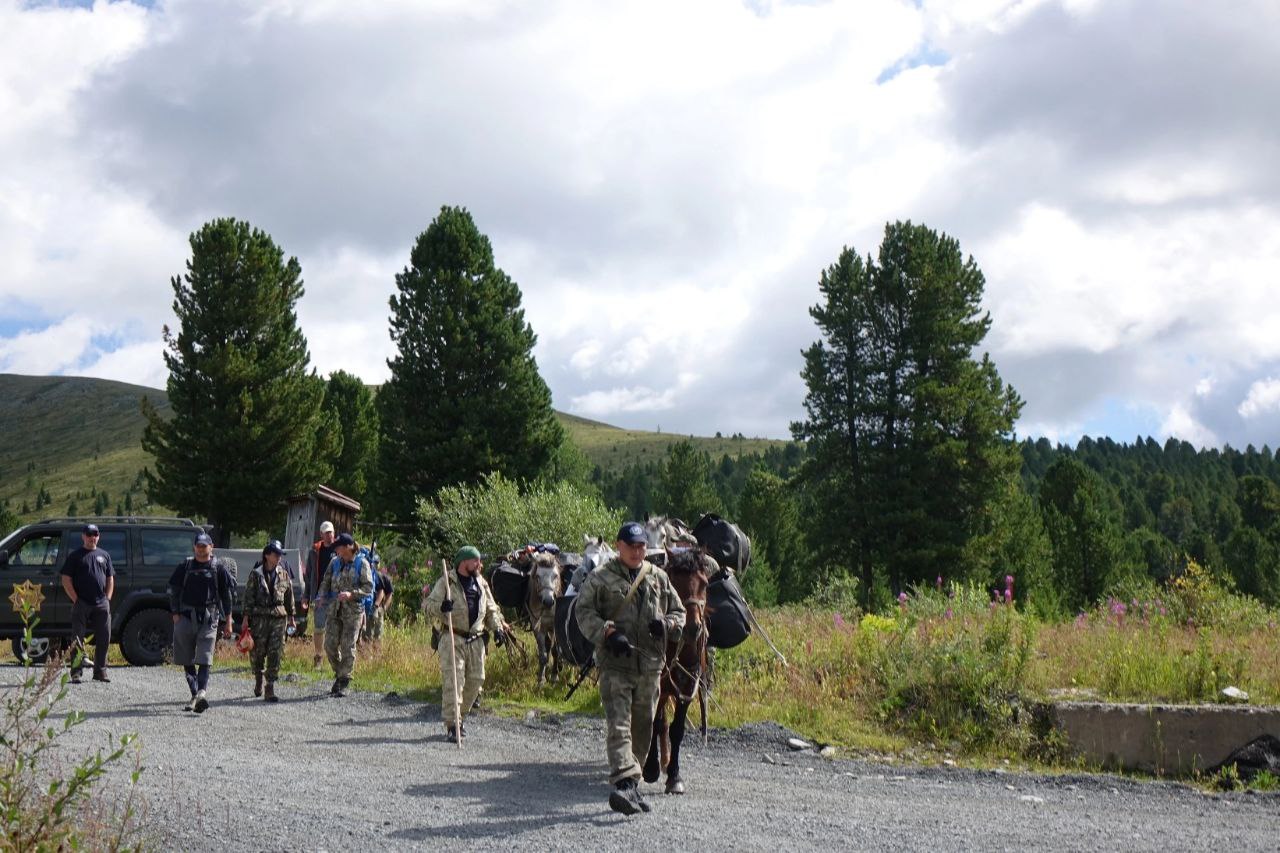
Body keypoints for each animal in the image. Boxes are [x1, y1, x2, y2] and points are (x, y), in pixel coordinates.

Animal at [640, 548, 711, 794]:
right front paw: (650, 768)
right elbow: (654, 722)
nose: (692, 628)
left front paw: (674, 776)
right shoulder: (657, 686)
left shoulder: (687, 688)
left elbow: (677, 730)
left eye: (704, 583)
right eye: (675, 582)